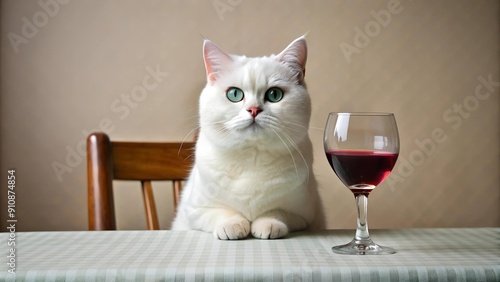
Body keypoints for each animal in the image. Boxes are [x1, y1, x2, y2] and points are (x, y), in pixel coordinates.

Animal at [171, 36, 324, 240]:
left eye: (274, 94)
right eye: (234, 94)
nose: (254, 109)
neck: (252, 157)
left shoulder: (304, 215)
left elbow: (276, 212)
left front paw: (267, 225)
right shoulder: (195, 210)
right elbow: (221, 212)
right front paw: (232, 225)